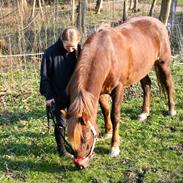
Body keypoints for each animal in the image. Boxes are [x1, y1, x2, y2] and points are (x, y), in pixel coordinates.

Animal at [66, 16, 176, 168]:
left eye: (85, 138)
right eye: (71, 140)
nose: (80, 165)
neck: (105, 54)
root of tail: (158, 22)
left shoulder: (118, 89)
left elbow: (115, 115)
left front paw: (114, 147)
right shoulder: (100, 92)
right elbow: (105, 110)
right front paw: (107, 132)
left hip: (163, 63)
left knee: (169, 85)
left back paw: (171, 110)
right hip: (141, 69)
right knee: (147, 85)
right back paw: (144, 113)